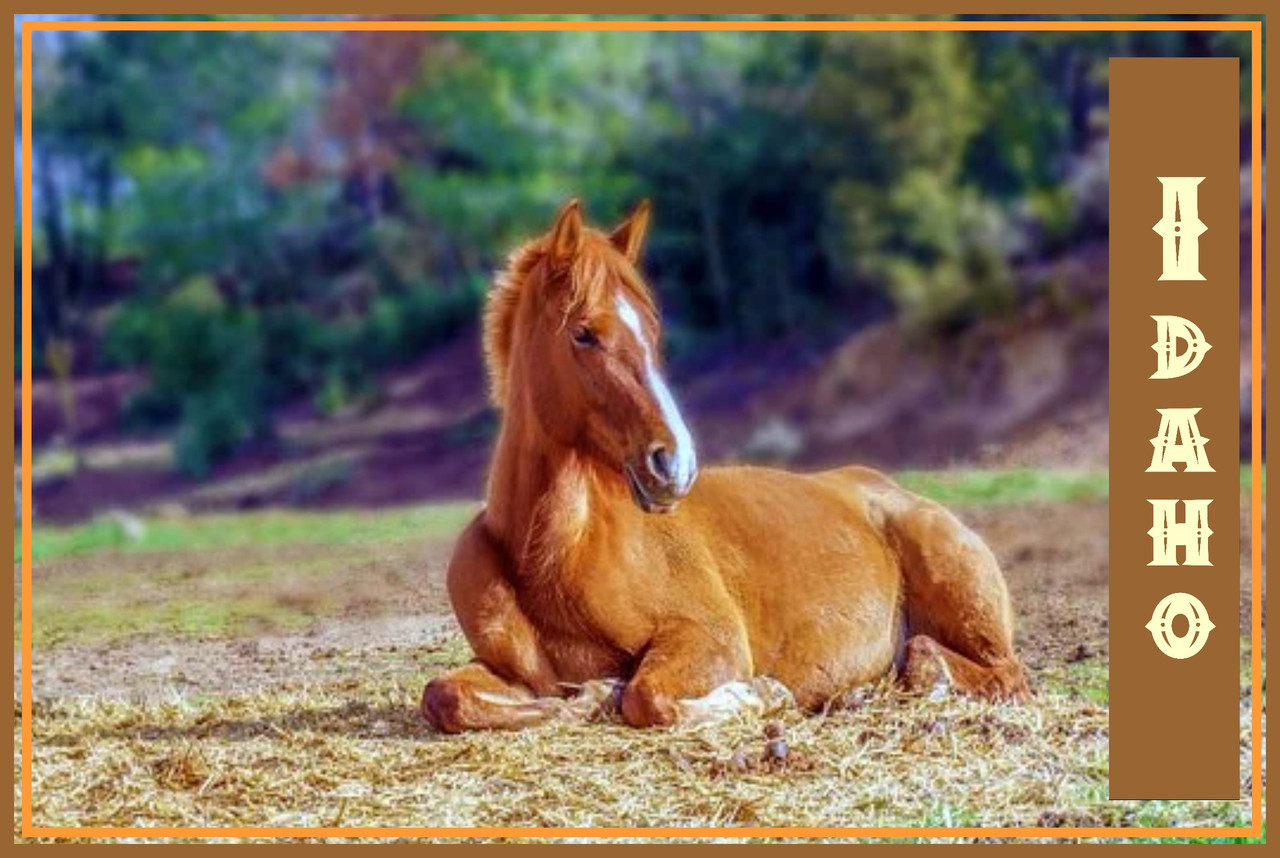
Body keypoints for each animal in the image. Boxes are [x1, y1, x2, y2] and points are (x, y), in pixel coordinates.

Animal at [419, 199, 1029, 732]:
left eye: (652, 330)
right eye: (583, 332)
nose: (674, 463)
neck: (554, 556)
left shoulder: (708, 639)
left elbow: (647, 697)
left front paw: (761, 695)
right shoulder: (507, 671)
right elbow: (445, 695)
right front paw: (591, 695)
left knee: (992, 672)